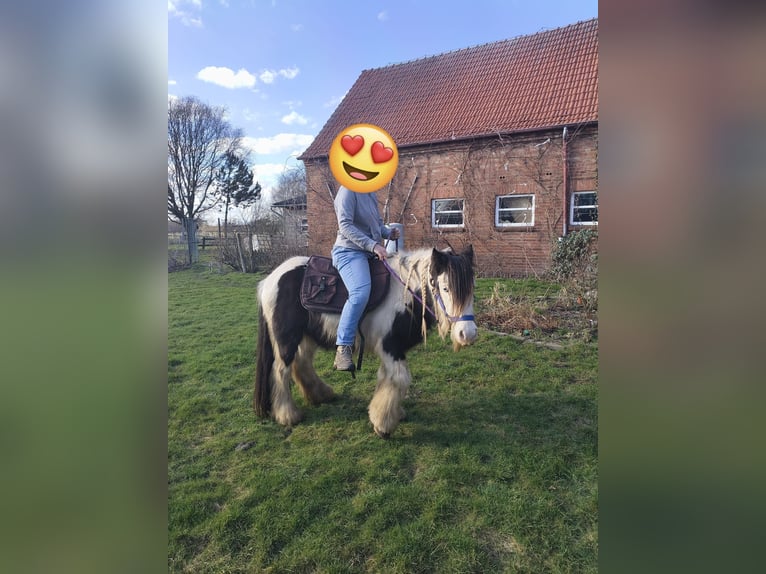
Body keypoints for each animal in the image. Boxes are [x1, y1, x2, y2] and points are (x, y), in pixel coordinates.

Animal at [254, 245, 478, 438]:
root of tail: (269, 280)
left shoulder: (391, 350)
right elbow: (400, 379)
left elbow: (387, 379)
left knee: (300, 364)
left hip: (307, 337)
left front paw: (392, 414)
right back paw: (288, 415)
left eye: (472, 289)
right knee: (280, 370)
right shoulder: (390, 347)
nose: (467, 334)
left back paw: (321, 395)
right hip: (286, 339)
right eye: (446, 288)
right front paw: (383, 426)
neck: (404, 294)